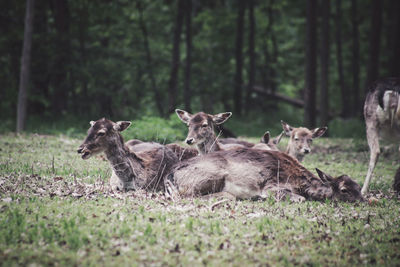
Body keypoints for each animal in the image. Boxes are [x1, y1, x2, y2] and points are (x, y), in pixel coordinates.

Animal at [164, 149, 364, 203]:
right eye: (344, 190)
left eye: (359, 186)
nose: (364, 201)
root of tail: (169, 175)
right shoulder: (272, 186)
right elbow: (299, 199)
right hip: (208, 177)